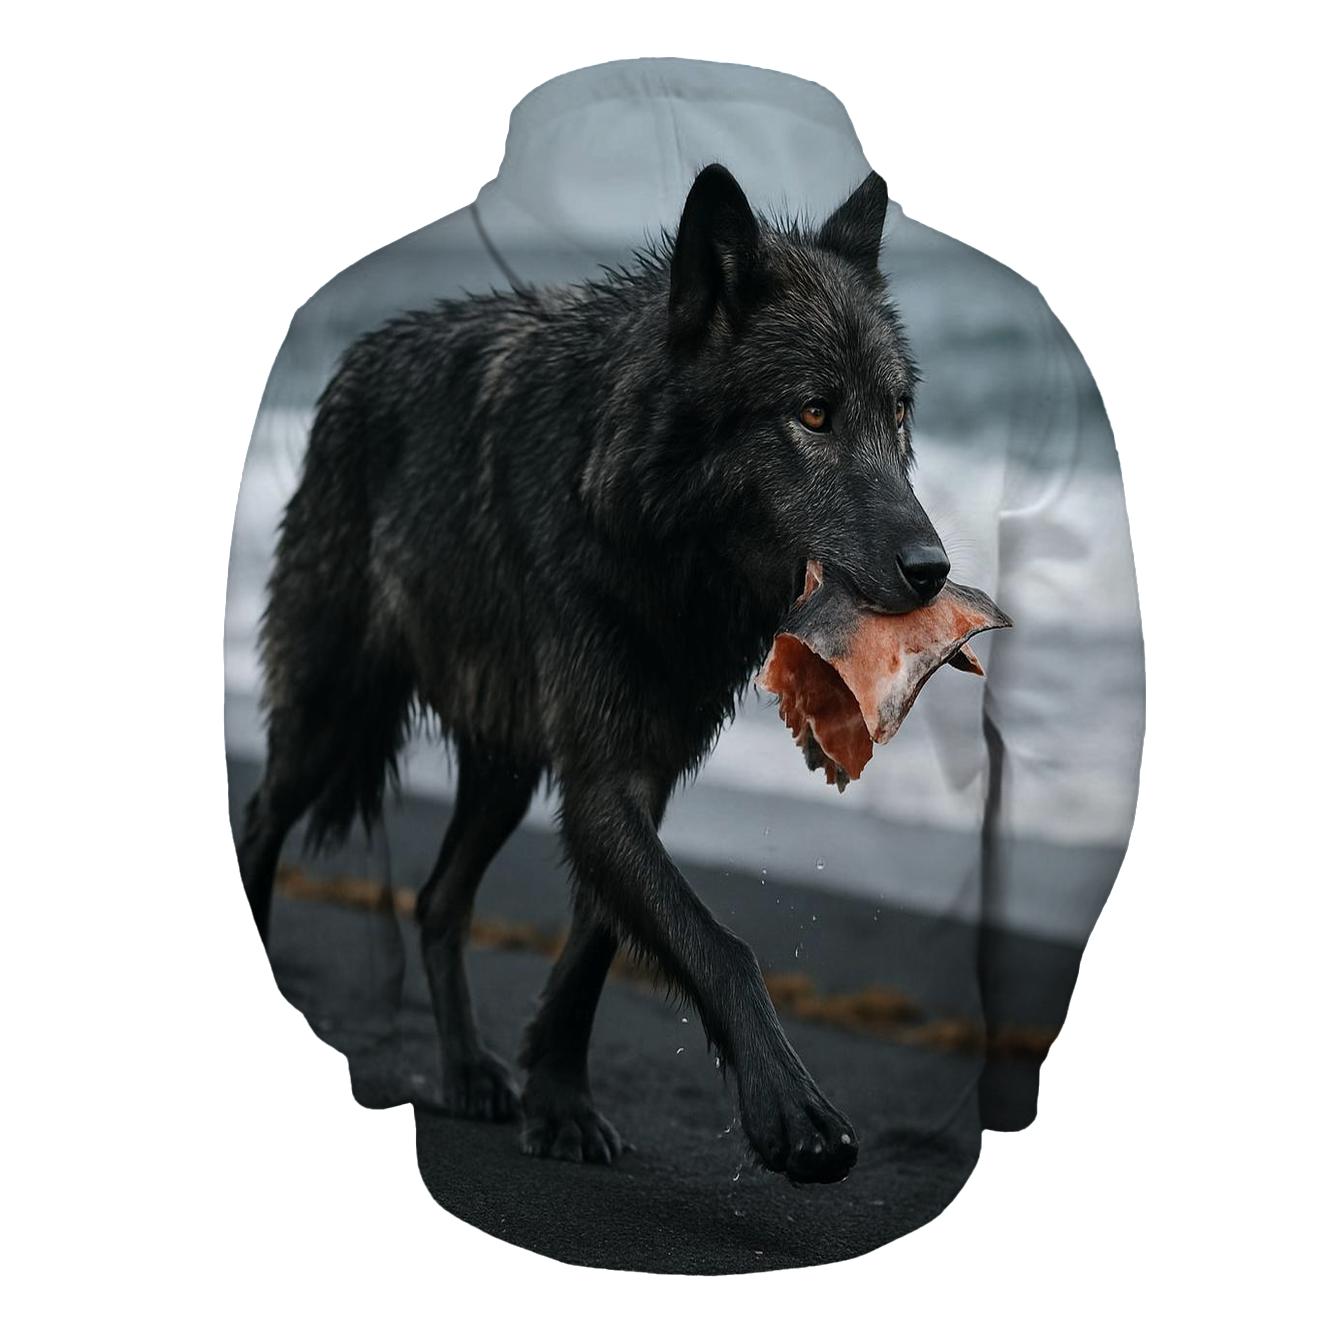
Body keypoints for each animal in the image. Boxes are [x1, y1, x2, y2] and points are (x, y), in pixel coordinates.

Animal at [238, 164, 949, 1184]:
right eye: (813, 412)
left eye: (895, 412)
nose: (934, 568)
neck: (664, 548)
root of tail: (352, 361)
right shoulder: (601, 776)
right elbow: (721, 944)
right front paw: (792, 1109)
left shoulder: (638, 772)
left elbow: (594, 949)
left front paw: (559, 1102)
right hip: (333, 714)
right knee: (262, 816)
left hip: (502, 765)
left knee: (437, 900)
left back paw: (469, 1071)